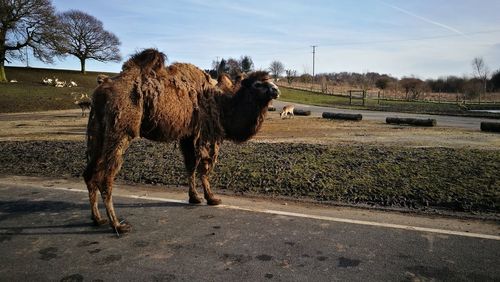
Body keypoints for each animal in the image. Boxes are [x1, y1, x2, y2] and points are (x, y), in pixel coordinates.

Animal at [81, 49, 278, 234]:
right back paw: (117, 224)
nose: (276, 90)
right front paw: (212, 198)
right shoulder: (207, 134)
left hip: (98, 130)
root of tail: (101, 90)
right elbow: (204, 167)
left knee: (90, 173)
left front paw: (195, 197)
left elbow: (190, 166)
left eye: (270, 80)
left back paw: (98, 219)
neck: (223, 105)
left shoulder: (188, 135)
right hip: (121, 129)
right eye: (258, 84)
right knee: (105, 176)